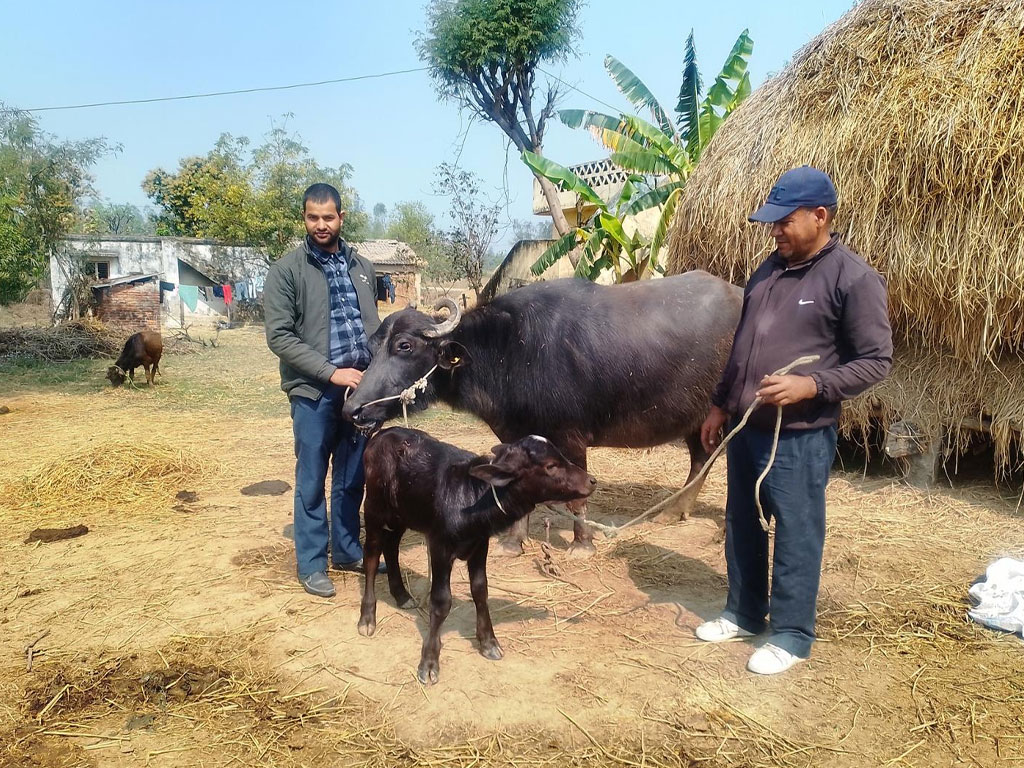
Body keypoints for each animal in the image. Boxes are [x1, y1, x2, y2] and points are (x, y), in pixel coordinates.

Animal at [346, 274, 745, 557]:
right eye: (373, 346)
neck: (511, 348)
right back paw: (674, 511)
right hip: (696, 417)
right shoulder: (515, 435)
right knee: (702, 458)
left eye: (405, 346)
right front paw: (513, 543)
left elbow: (579, 496)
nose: (353, 409)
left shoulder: (572, 438)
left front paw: (582, 545)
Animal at [362, 428, 598, 684]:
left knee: (391, 547)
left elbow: (480, 589)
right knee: (372, 556)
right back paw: (367, 618)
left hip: (402, 515)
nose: (591, 481)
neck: (470, 496)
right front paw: (429, 662)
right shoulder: (439, 546)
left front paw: (488, 642)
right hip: (374, 509)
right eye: (551, 466)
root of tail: (383, 433)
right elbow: (441, 601)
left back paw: (401, 595)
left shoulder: (480, 545)